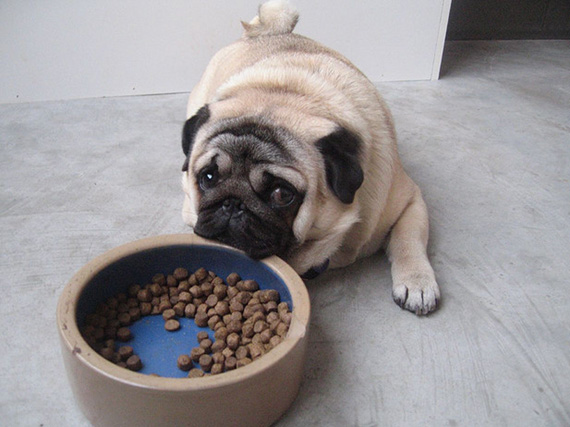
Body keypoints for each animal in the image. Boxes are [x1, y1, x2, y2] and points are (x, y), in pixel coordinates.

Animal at [180, 0, 438, 314]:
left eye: (282, 194)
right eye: (207, 177)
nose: (233, 203)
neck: (289, 94)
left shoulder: (410, 200)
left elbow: (409, 239)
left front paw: (417, 282)